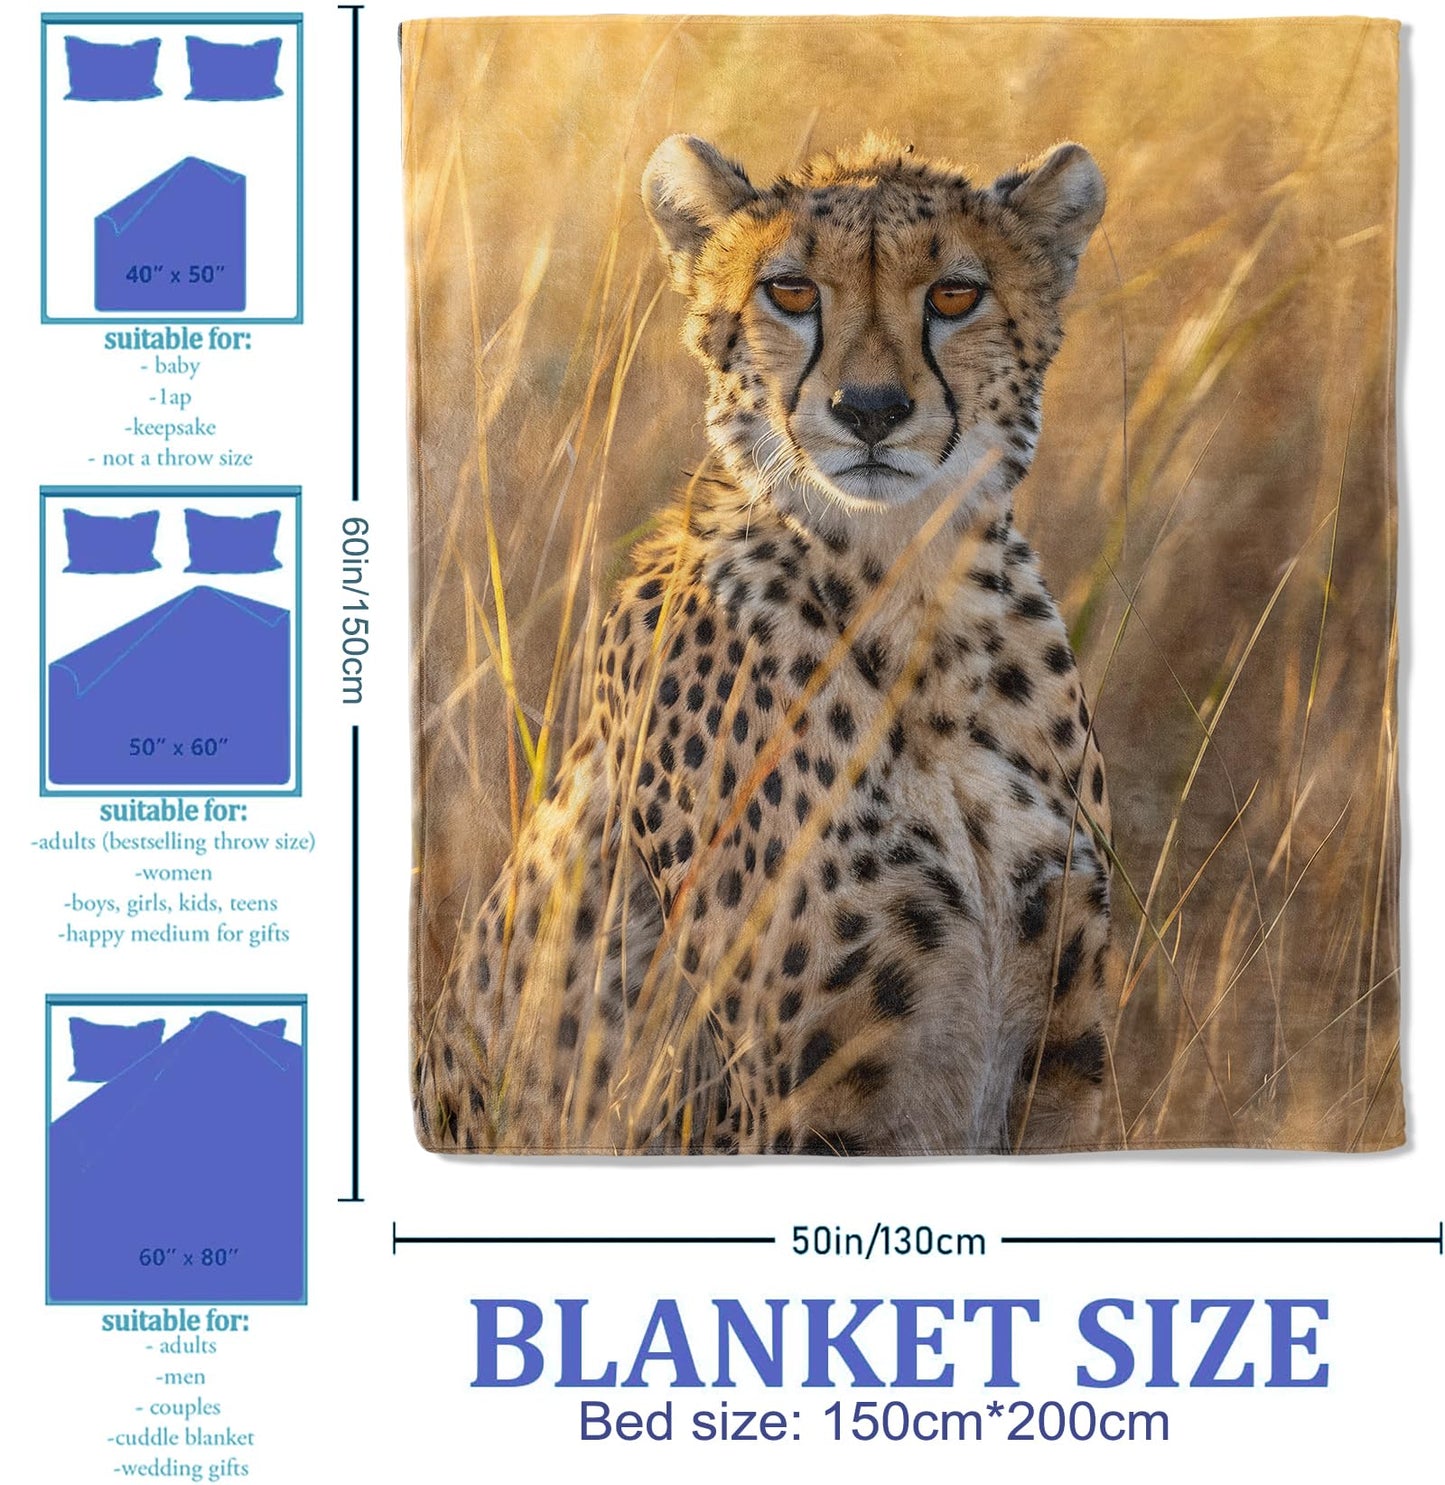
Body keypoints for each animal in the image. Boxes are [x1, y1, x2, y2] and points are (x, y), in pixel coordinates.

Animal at [414, 132, 1114, 1155]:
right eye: (790, 290)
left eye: (954, 294)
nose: (870, 408)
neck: (913, 608)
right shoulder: (802, 1104)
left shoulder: (1062, 1069)